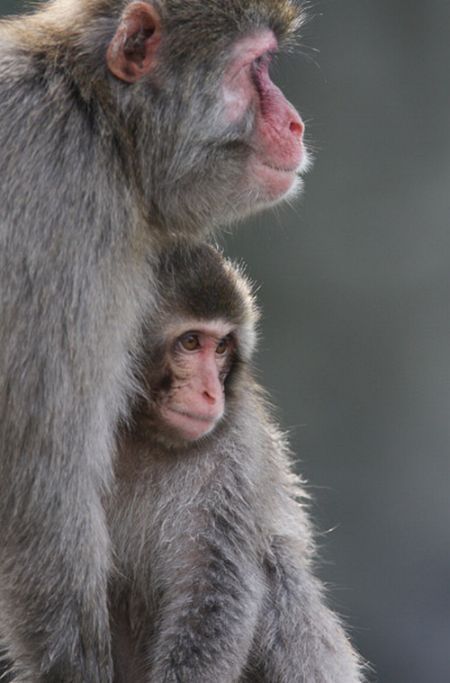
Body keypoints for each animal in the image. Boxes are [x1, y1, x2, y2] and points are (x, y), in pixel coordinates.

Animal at [110, 243, 366, 680]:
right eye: (190, 342)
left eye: (222, 348)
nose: (212, 392)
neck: (144, 433)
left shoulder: (234, 455)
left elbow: (216, 592)